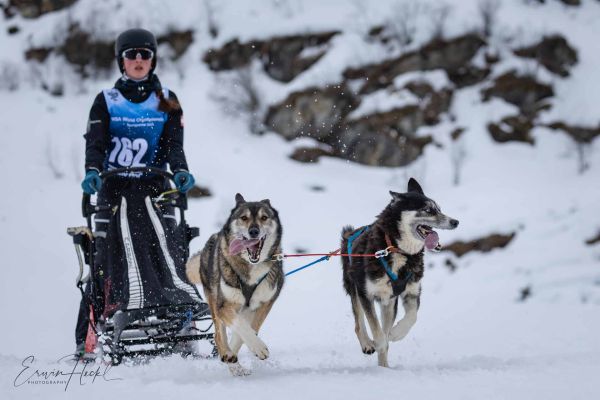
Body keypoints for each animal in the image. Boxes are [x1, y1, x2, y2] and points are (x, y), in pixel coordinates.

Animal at [186, 193, 284, 375]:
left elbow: (247, 330)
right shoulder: (223, 305)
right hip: (214, 302)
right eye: (244, 218)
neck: (251, 267)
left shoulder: (265, 303)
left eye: (264, 217)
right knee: (218, 335)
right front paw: (257, 347)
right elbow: (240, 325)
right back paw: (228, 355)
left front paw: (241, 354)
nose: (254, 231)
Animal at [341, 178, 459, 367]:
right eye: (428, 209)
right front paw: (379, 341)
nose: (455, 222)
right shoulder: (366, 294)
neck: (398, 250)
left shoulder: (408, 293)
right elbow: (377, 330)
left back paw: (384, 366)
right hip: (355, 289)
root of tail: (349, 234)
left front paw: (395, 334)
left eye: (439, 208)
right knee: (359, 323)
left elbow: (412, 317)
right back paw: (367, 344)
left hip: (387, 303)